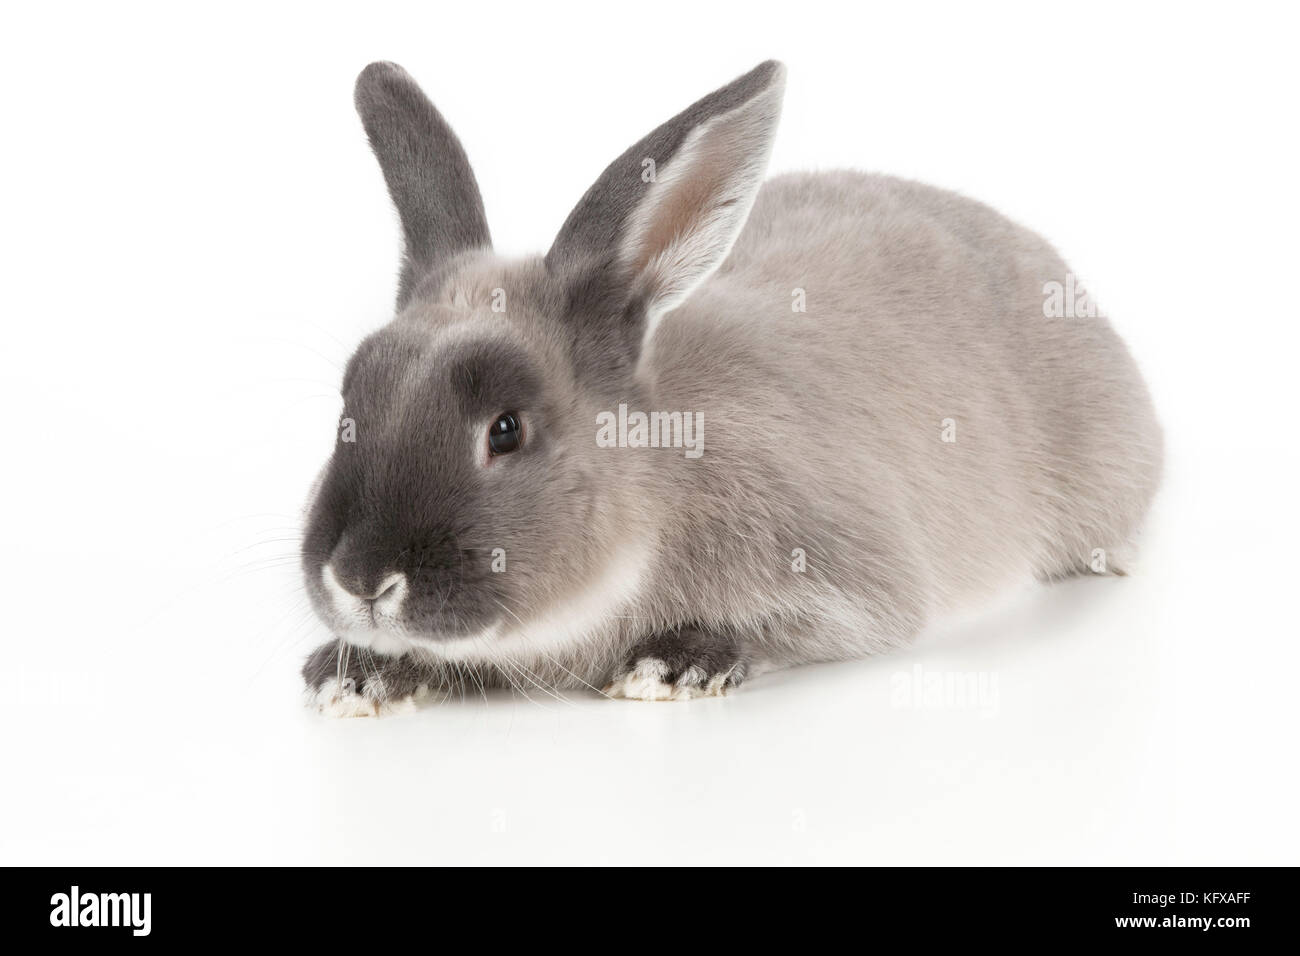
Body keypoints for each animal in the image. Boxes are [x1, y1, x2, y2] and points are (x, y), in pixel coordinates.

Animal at [300, 59, 1162, 716]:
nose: (361, 581)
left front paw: (673, 665)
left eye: (505, 429)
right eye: (348, 404)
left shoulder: (844, 584)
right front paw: (356, 674)